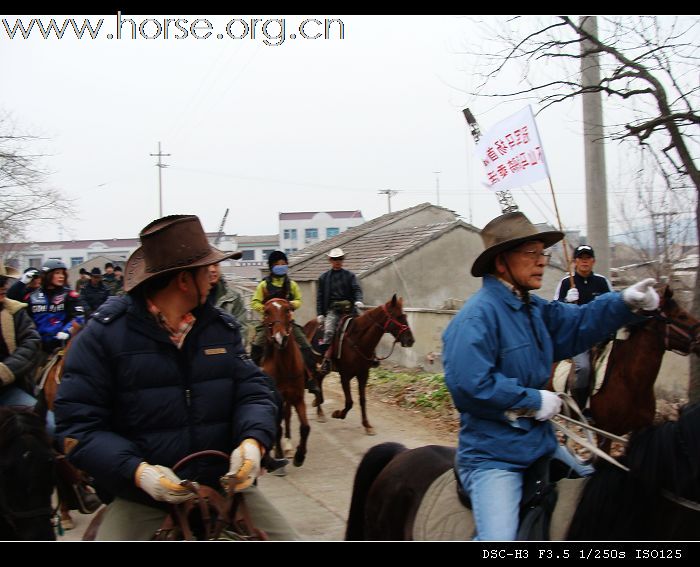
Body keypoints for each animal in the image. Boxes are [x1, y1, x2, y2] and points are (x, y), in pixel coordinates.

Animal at [262, 298, 308, 466]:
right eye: (266, 312)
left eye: (288, 309)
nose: (280, 338)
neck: (286, 368)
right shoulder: (277, 400)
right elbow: (277, 428)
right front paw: (279, 454)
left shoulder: (298, 397)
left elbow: (305, 427)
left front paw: (300, 456)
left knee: (287, 417)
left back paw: (288, 446)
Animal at [302, 296, 412, 438]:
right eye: (398, 316)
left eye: (404, 316)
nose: (411, 340)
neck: (358, 341)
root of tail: (306, 325)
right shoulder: (345, 376)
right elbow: (349, 402)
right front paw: (338, 414)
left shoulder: (363, 375)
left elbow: (362, 400)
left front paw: (367, 425)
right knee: (316, 380)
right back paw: (319, 408)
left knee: (319, 380)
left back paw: (319, 406)